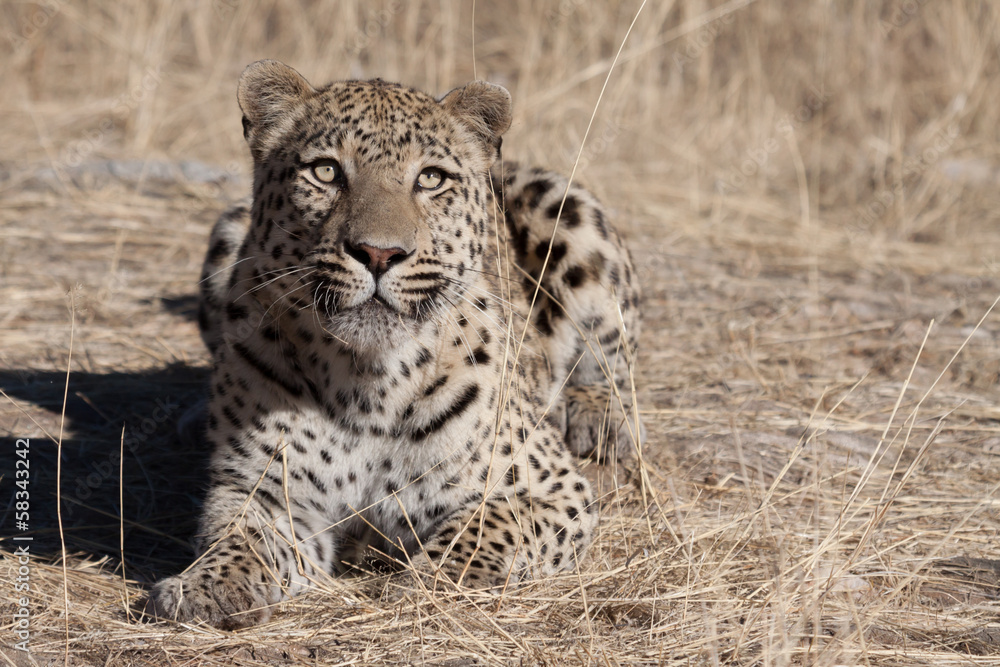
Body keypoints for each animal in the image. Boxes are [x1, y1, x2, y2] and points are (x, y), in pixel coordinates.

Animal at [148, 59, 643, 629]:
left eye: (430, 179)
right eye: (326, 172)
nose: (378, 254)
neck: (368, 383)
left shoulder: (549, 489)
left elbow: (479, 533)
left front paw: (425, 588)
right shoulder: (266, 491)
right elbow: (238, 539)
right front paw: (201, 587)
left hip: (569, 209)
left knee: (610, 357)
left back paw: (595, 418)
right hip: (227, 229)